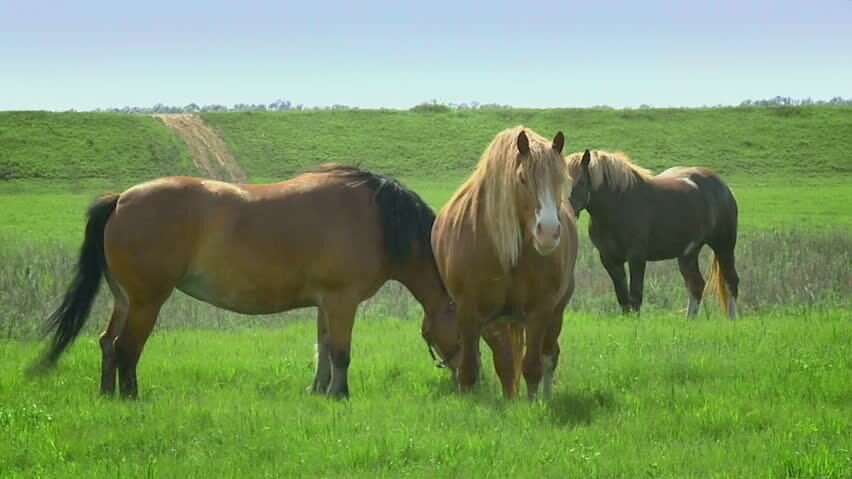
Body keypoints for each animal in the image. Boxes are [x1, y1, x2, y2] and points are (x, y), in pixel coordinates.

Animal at [30, 167, 460, 400]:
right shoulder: (342, 301)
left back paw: (106, 394)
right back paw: (130, 398)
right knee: (125, 348)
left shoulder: (325, 303)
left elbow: (322, 349)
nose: (464, 381)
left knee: (107, 343)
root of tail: (119, 199)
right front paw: (340, 394)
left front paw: (318, 391)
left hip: (124, 300)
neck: (377, 220)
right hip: (145, 303)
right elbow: (340, 352)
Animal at [432, 125, 580, 400]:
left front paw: (533, 404)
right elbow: (471, 369)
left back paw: (546, 397)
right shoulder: (469, 312)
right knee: (507, 360)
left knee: (549, 355)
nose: (548, 232)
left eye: (561, 180)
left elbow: (532, 367)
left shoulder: (540, 310)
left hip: (554, 314)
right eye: (522, 179)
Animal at [564, 152, 740, 320]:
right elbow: (623, 297)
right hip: (688, 253)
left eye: (581, 181)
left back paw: (731, 321)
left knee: (730, 281)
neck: (618, 204)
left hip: (724, 246)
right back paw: (690, 321)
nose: (567, 210)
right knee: (696, 285)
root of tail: (723, 187)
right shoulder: (610, 260)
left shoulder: (636, 257)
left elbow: (635, 295)